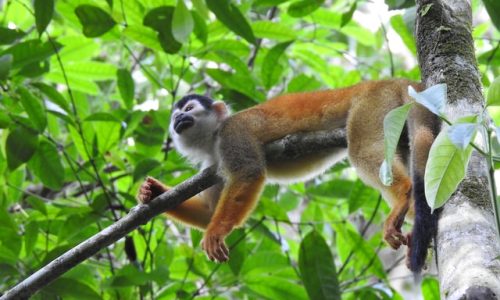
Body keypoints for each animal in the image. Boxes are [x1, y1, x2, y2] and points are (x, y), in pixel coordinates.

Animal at [137, 79, 438, 272]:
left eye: (188, 110)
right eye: (175, 116)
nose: (178, 121)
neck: (212, 139)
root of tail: (386, 81)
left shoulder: (233, 134)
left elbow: (248, 173)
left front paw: (216, 232)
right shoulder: (213, 164)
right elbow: (209, 211)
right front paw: (151, 192)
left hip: (372, 105)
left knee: (362, 149)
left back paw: (403, 195)